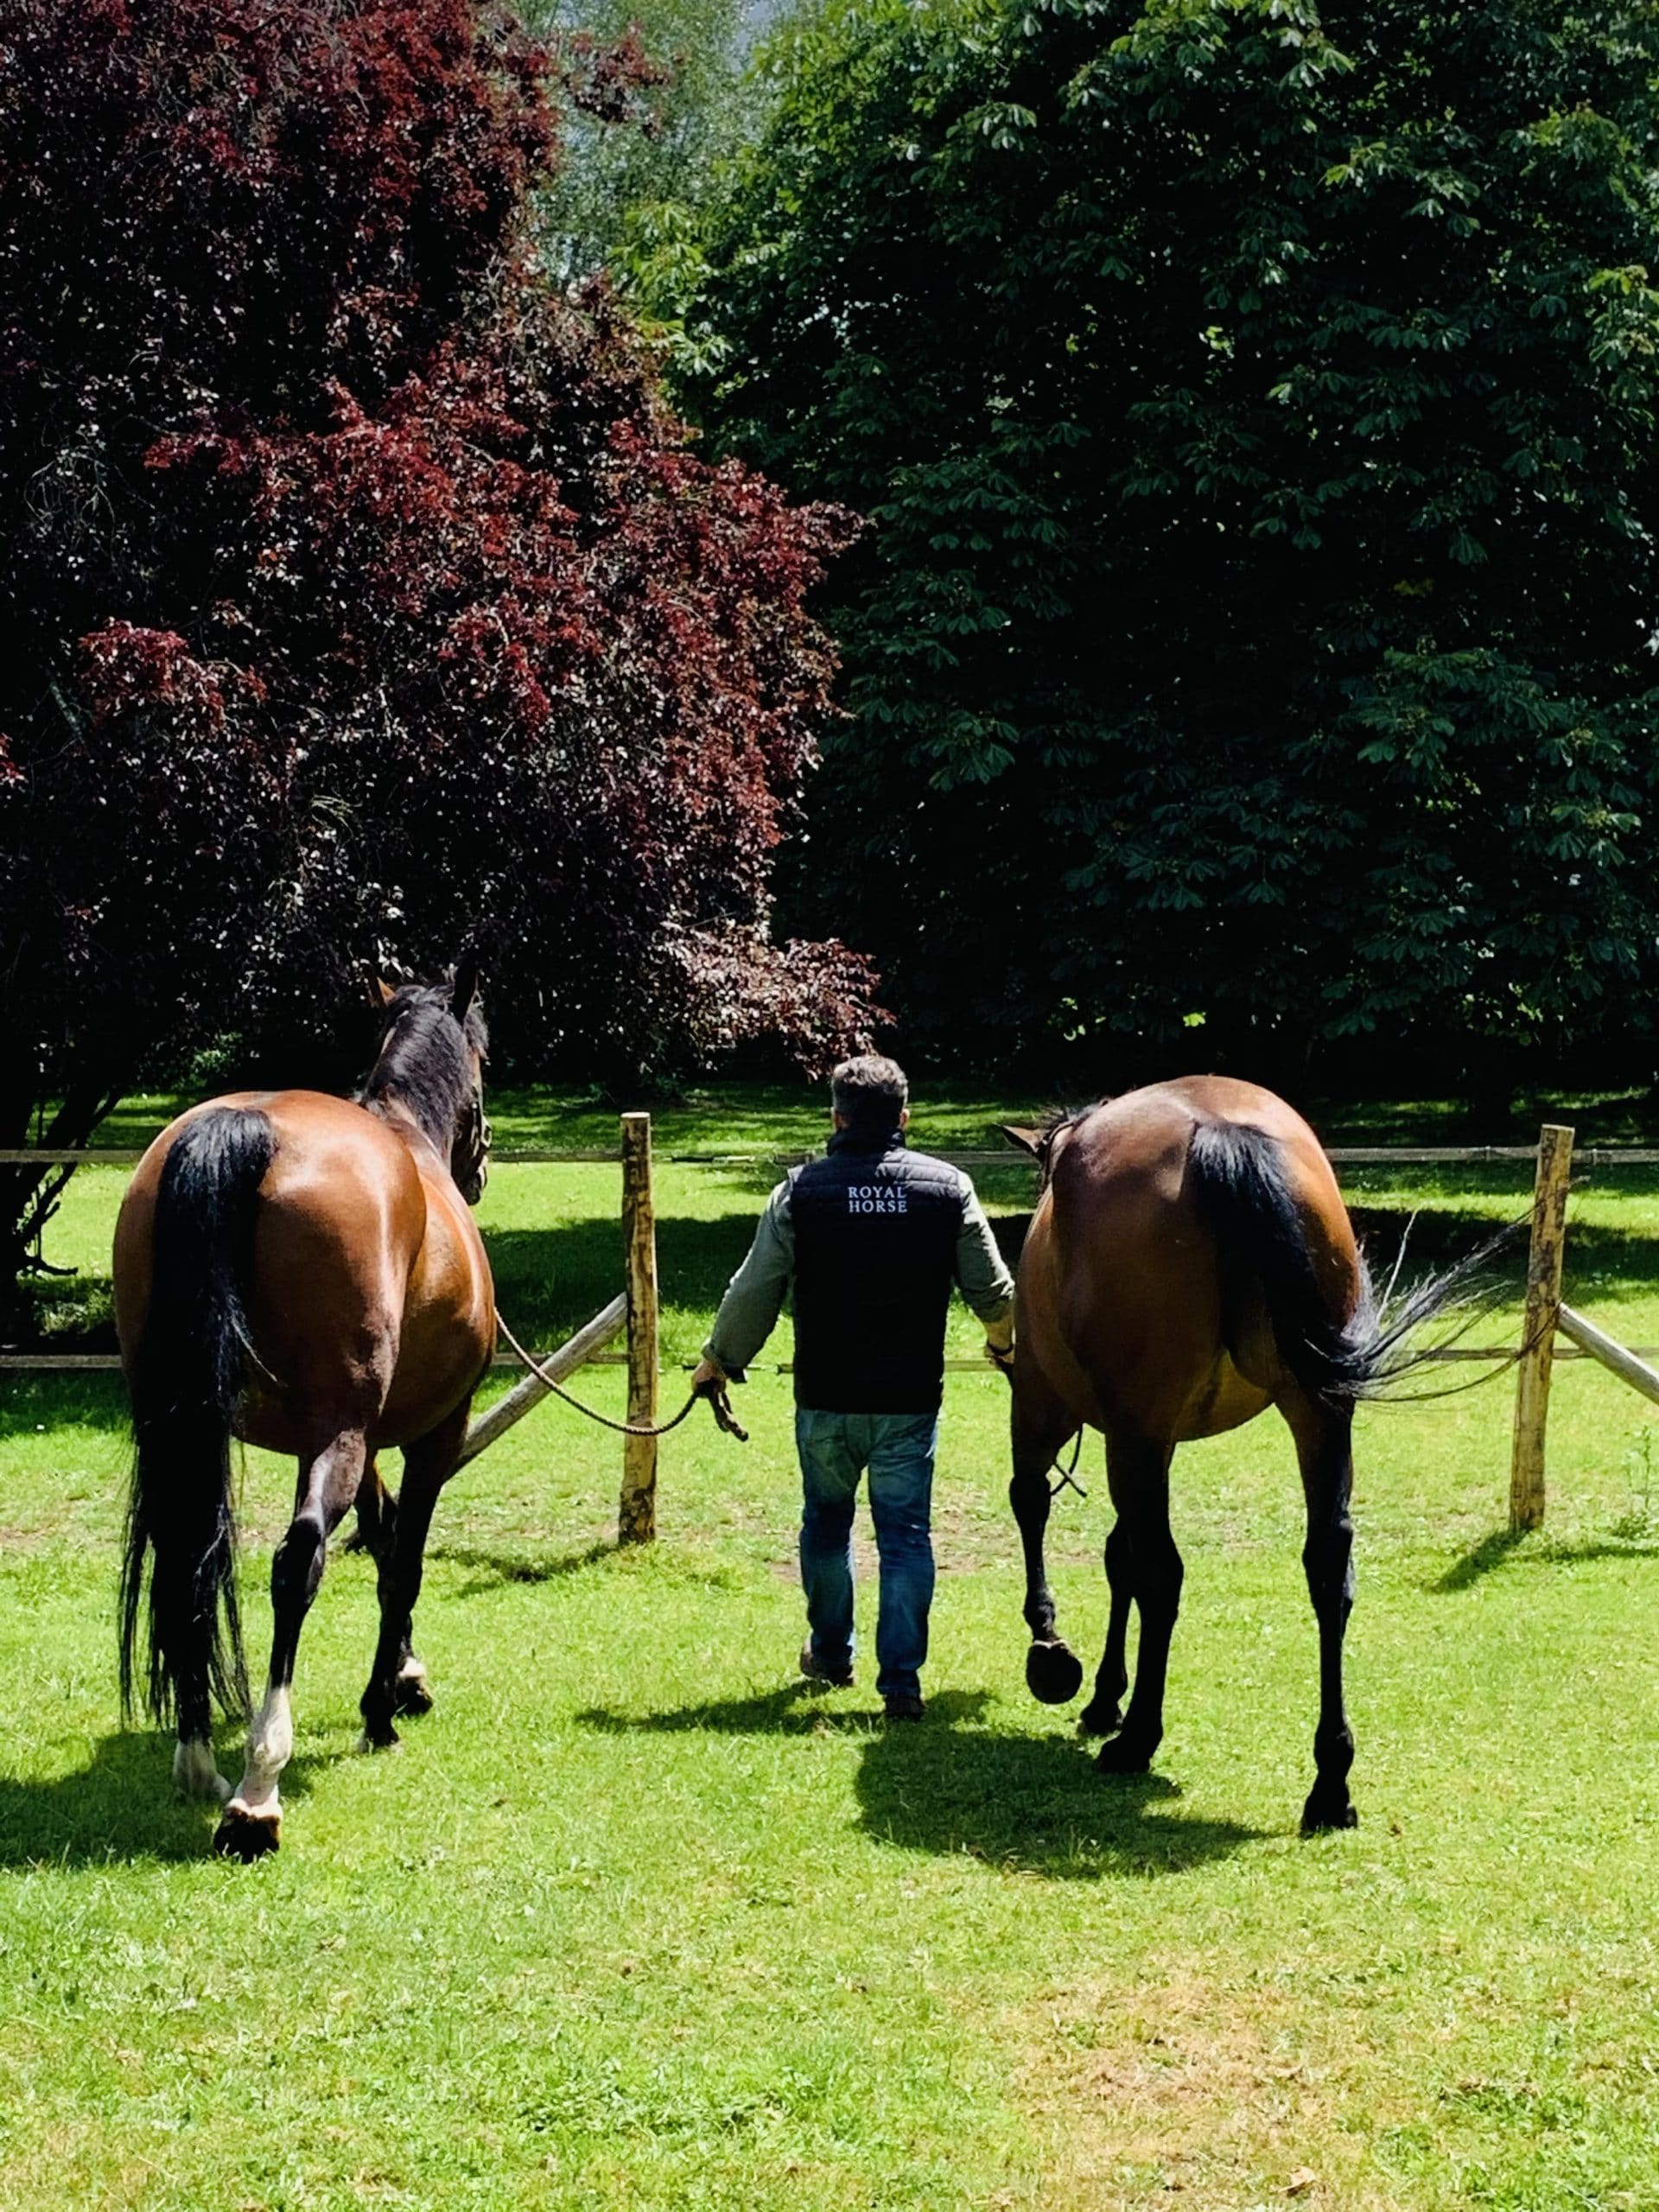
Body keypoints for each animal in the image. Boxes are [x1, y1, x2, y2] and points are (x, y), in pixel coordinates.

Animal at [113, 960, 493, 1858]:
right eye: (486, 1061)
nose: (482, 1168)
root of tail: (243, 1127)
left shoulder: (351, 1441)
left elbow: (382, 1540)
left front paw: (403, 1678)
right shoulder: (427, 1434)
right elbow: (404, 1559)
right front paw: (383, 1708)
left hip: (185, 1425)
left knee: (187, 1555)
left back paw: (198, 1758)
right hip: (341, 1435)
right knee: (297, 1563)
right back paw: (257, 1789)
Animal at [1008, 1075, 1503, 1831]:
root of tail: (1221, 1134)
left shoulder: (1052, 1409)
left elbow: (1041, 1511)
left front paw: (1055, 1657)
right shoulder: (1148, 1437)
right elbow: (1117, 1553)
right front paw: (1102, 1694)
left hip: (1130, 1430)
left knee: (1161, 1572)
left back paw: (1139, 1737)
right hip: (1314, 1412)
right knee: (1328, 1565)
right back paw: (1331, 1781)